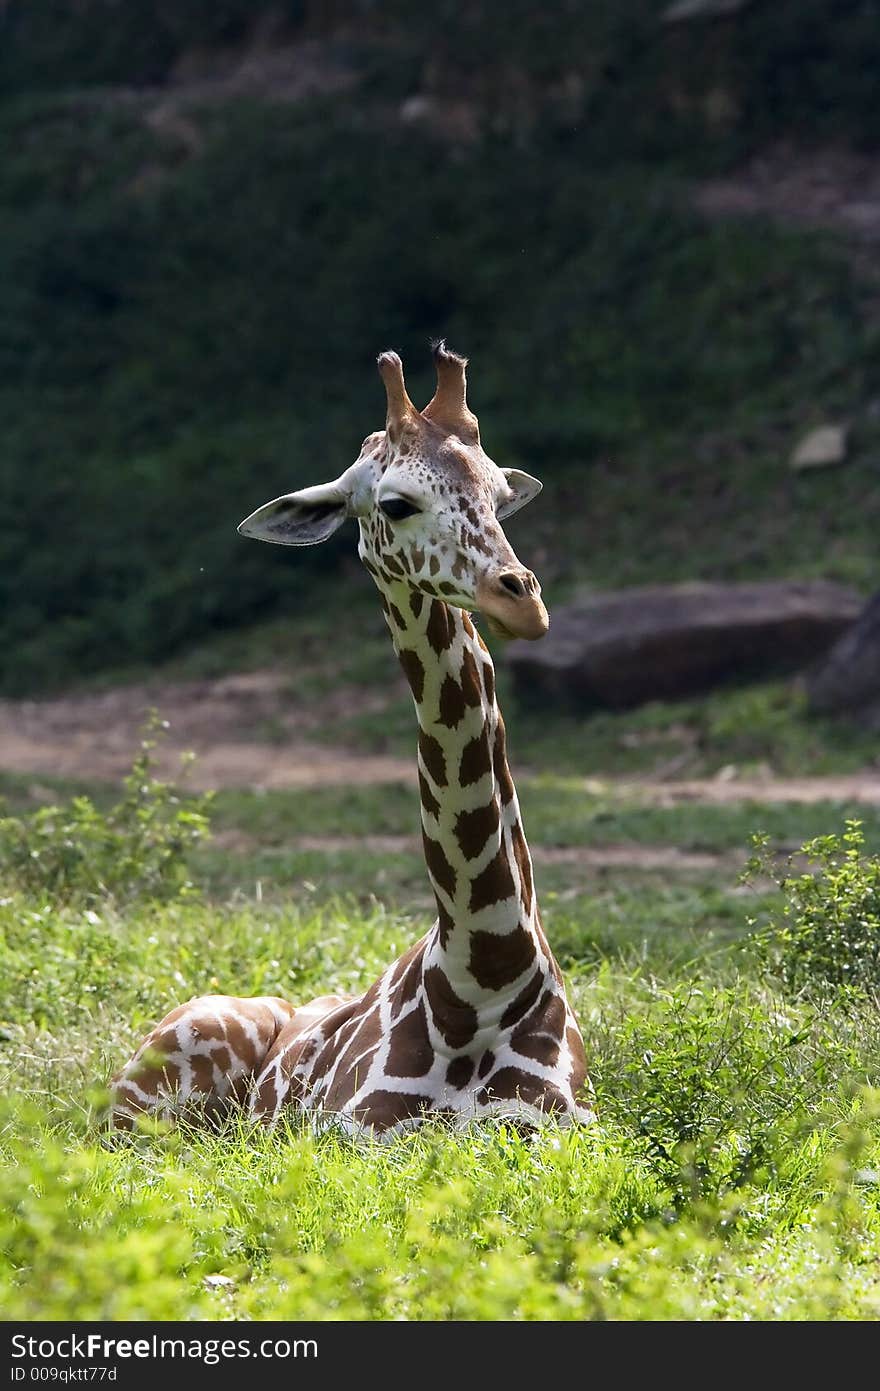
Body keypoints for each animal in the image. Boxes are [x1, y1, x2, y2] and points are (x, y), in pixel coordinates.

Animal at [108, 347, 589, 1140]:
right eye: (395, 503)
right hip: (152, 1090)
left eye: (497, 493)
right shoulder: (354, 1138)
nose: (521, 599)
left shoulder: (562, 1135)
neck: (485, 976)